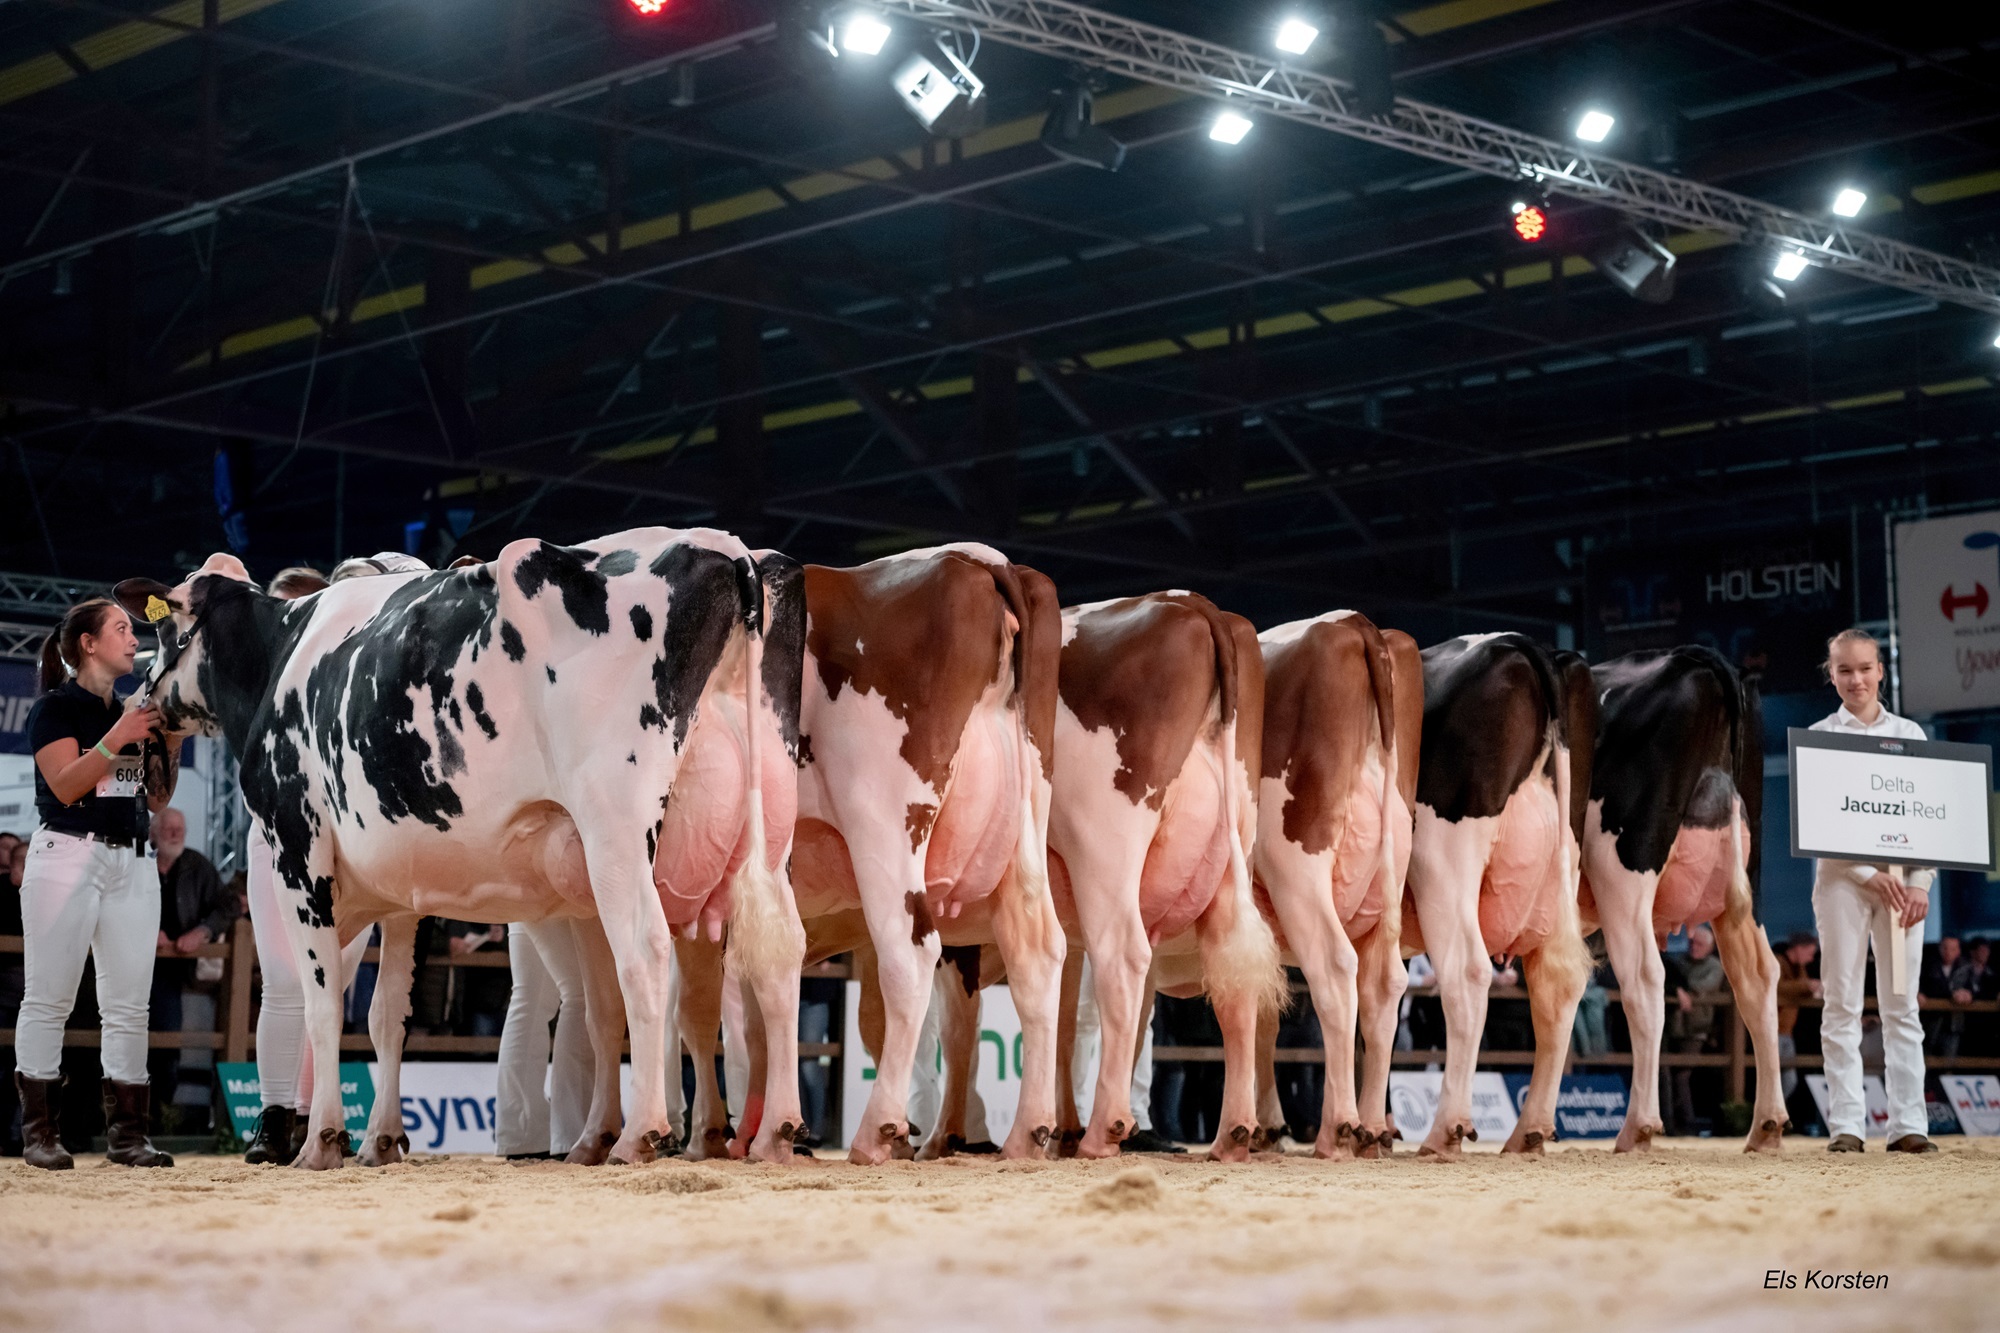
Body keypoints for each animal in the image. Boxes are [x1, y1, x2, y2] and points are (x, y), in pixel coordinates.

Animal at [115, 528, 804, 1160]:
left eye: (160, 631)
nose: (139, 698)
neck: (276, 658)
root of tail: (728, 549)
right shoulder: (397, 890)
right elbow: (385, 1015)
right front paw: (381, 1139)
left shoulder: (298, 854)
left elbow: (322, 1004)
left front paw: (324, 1140)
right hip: (769, 829)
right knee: (779, 954)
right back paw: (774, 1130)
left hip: (615, 828)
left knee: (645, 951)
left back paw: (643, 1133)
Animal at [1576, 648, 1784, 1144]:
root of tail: (1693, 659)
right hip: (1744, 882)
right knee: (1758, 977)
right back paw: (1765, 1124)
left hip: (1621, 868)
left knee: (1645, 977)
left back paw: (1637, 1125)